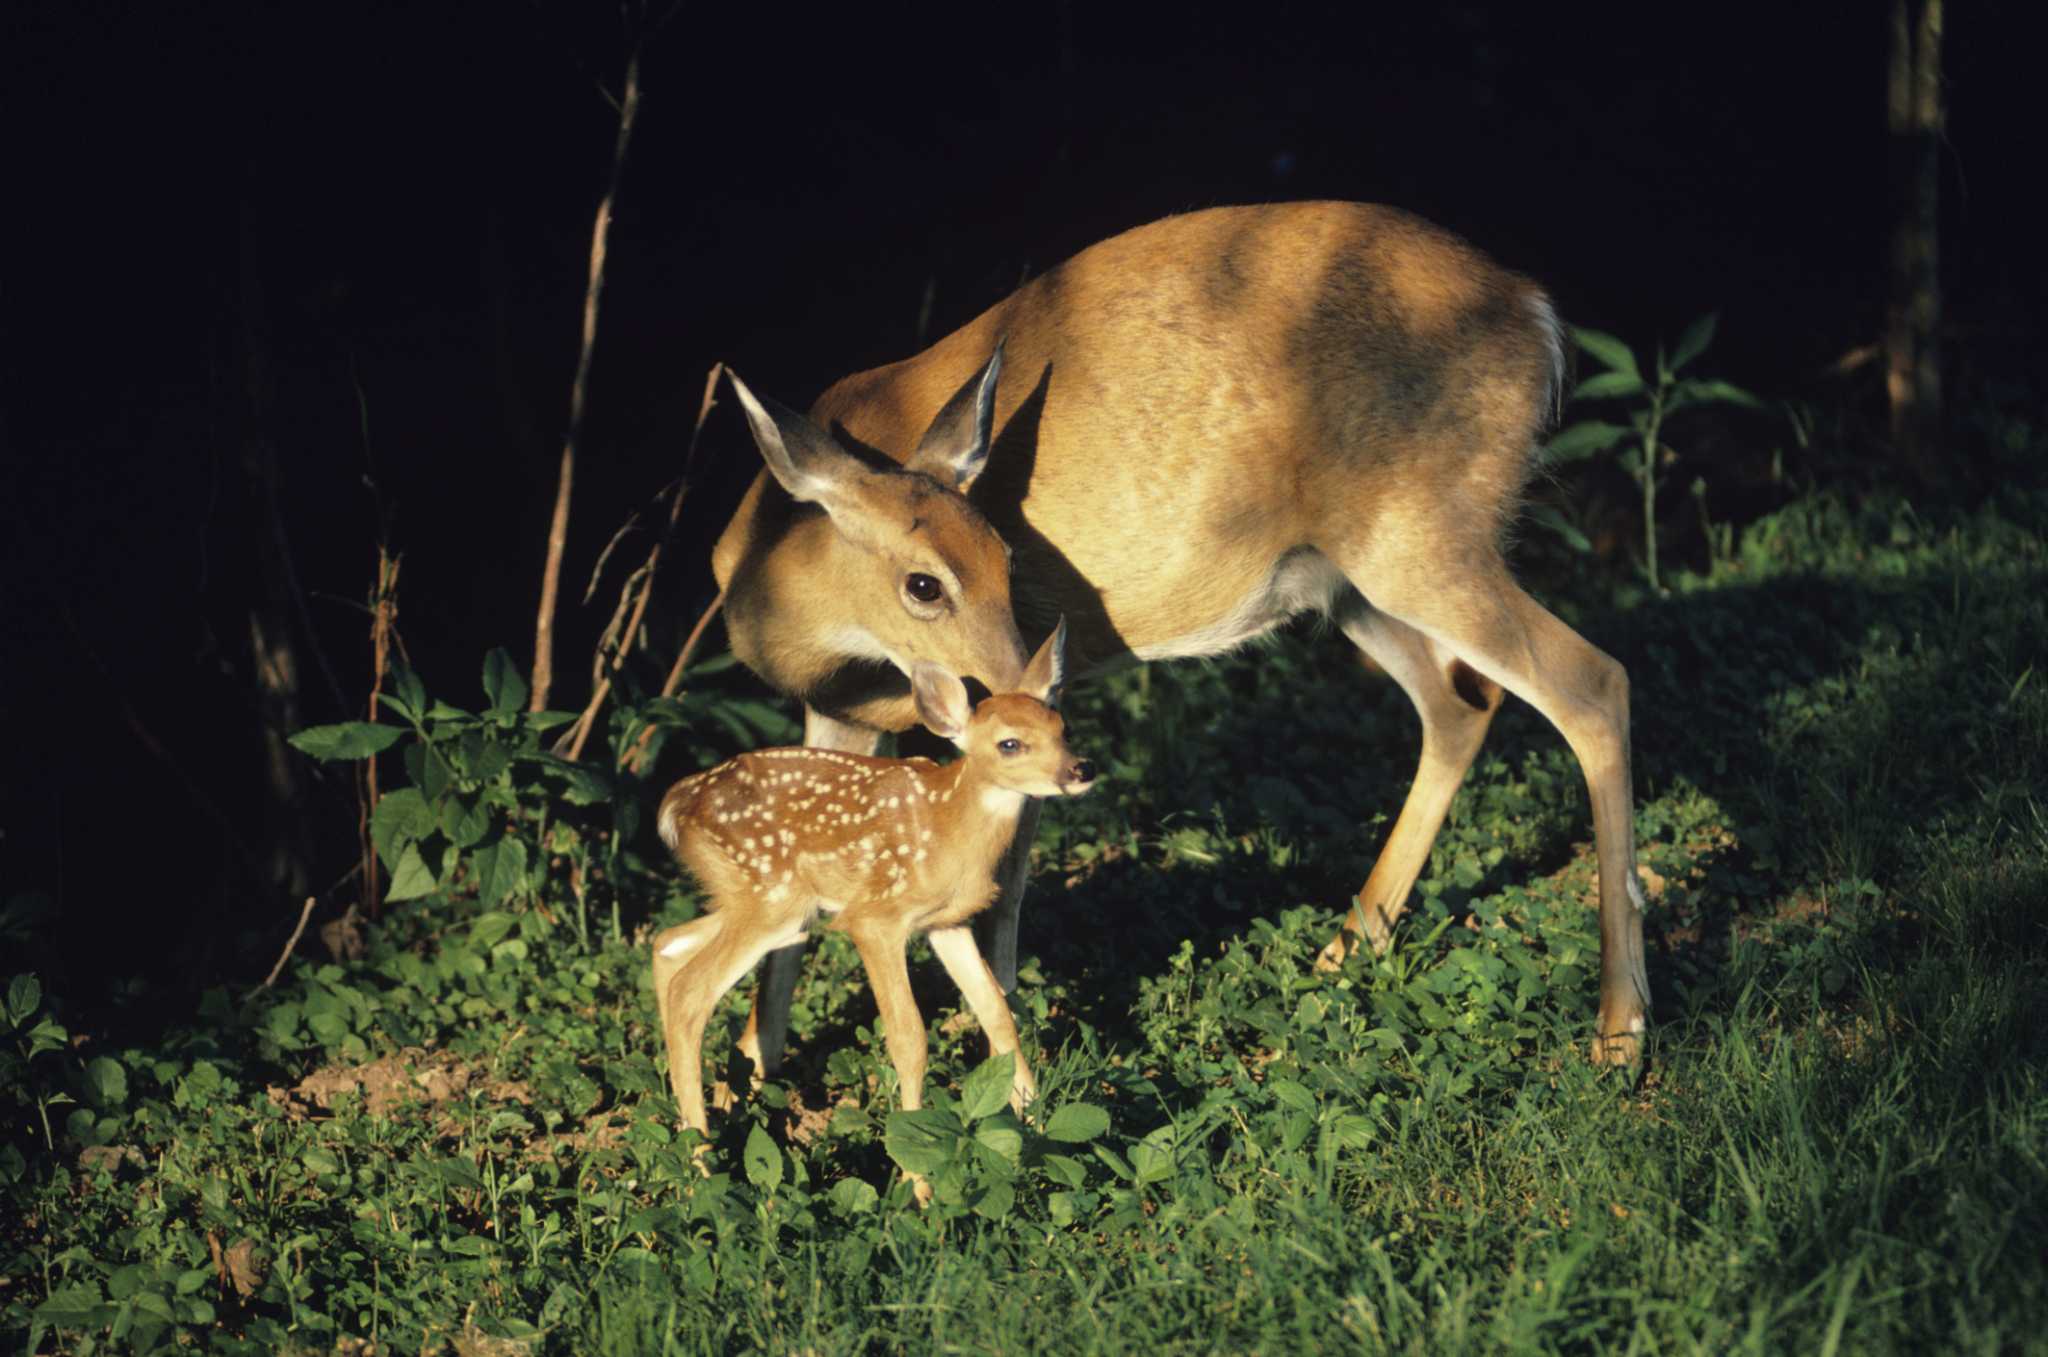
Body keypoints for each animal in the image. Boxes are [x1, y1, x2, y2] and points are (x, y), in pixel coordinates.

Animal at [652, 620, 1095, 1141]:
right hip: (771, 897)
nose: (1081, 768)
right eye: (1010, 744)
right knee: (690, 991)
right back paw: (698, 1152)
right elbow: (909, 1037)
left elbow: (997, 1013)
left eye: (1063, 730)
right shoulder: (876, 918)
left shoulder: (946, 922)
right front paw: (912, 1147)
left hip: (749, 897)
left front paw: (1033, 1120)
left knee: (667, 943)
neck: (950, 829)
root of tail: (675, 805)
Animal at [707, 200, 1653, 1075]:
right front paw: (755, 1074)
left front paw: (1003, 1050)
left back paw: (1620, 1028)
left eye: (1009, 558)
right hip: (1349, 576)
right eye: (924, 583)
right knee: (1462, 702)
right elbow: (793, 890)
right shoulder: (841, 711)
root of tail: (1536, 313)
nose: (1027, 679)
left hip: (1426, 536)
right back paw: (1342, 954)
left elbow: (999, 883)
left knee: (1594, 681)